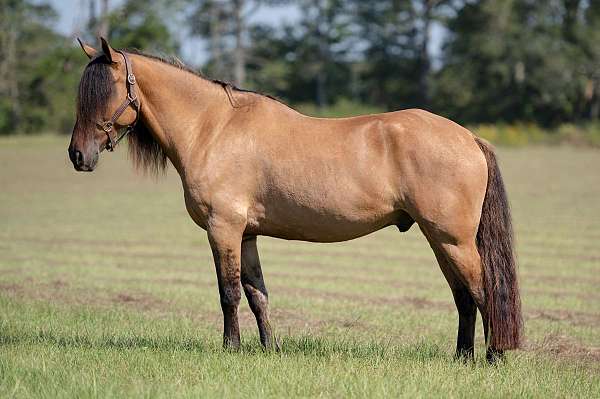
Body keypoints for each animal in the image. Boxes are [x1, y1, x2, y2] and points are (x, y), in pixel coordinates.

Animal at [68, 39, 524, 364]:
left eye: (104, 91)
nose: (77, 155)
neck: (213, 128)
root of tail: (469, 137)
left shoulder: (223, 228)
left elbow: (228, 292)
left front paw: (231, 349)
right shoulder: (246, 234)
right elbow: (257, 293)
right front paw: (270, 348)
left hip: (452, 240)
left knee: (482, 291)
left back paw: (492, 358)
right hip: (440, 240)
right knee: (463, 296)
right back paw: (462, 357)